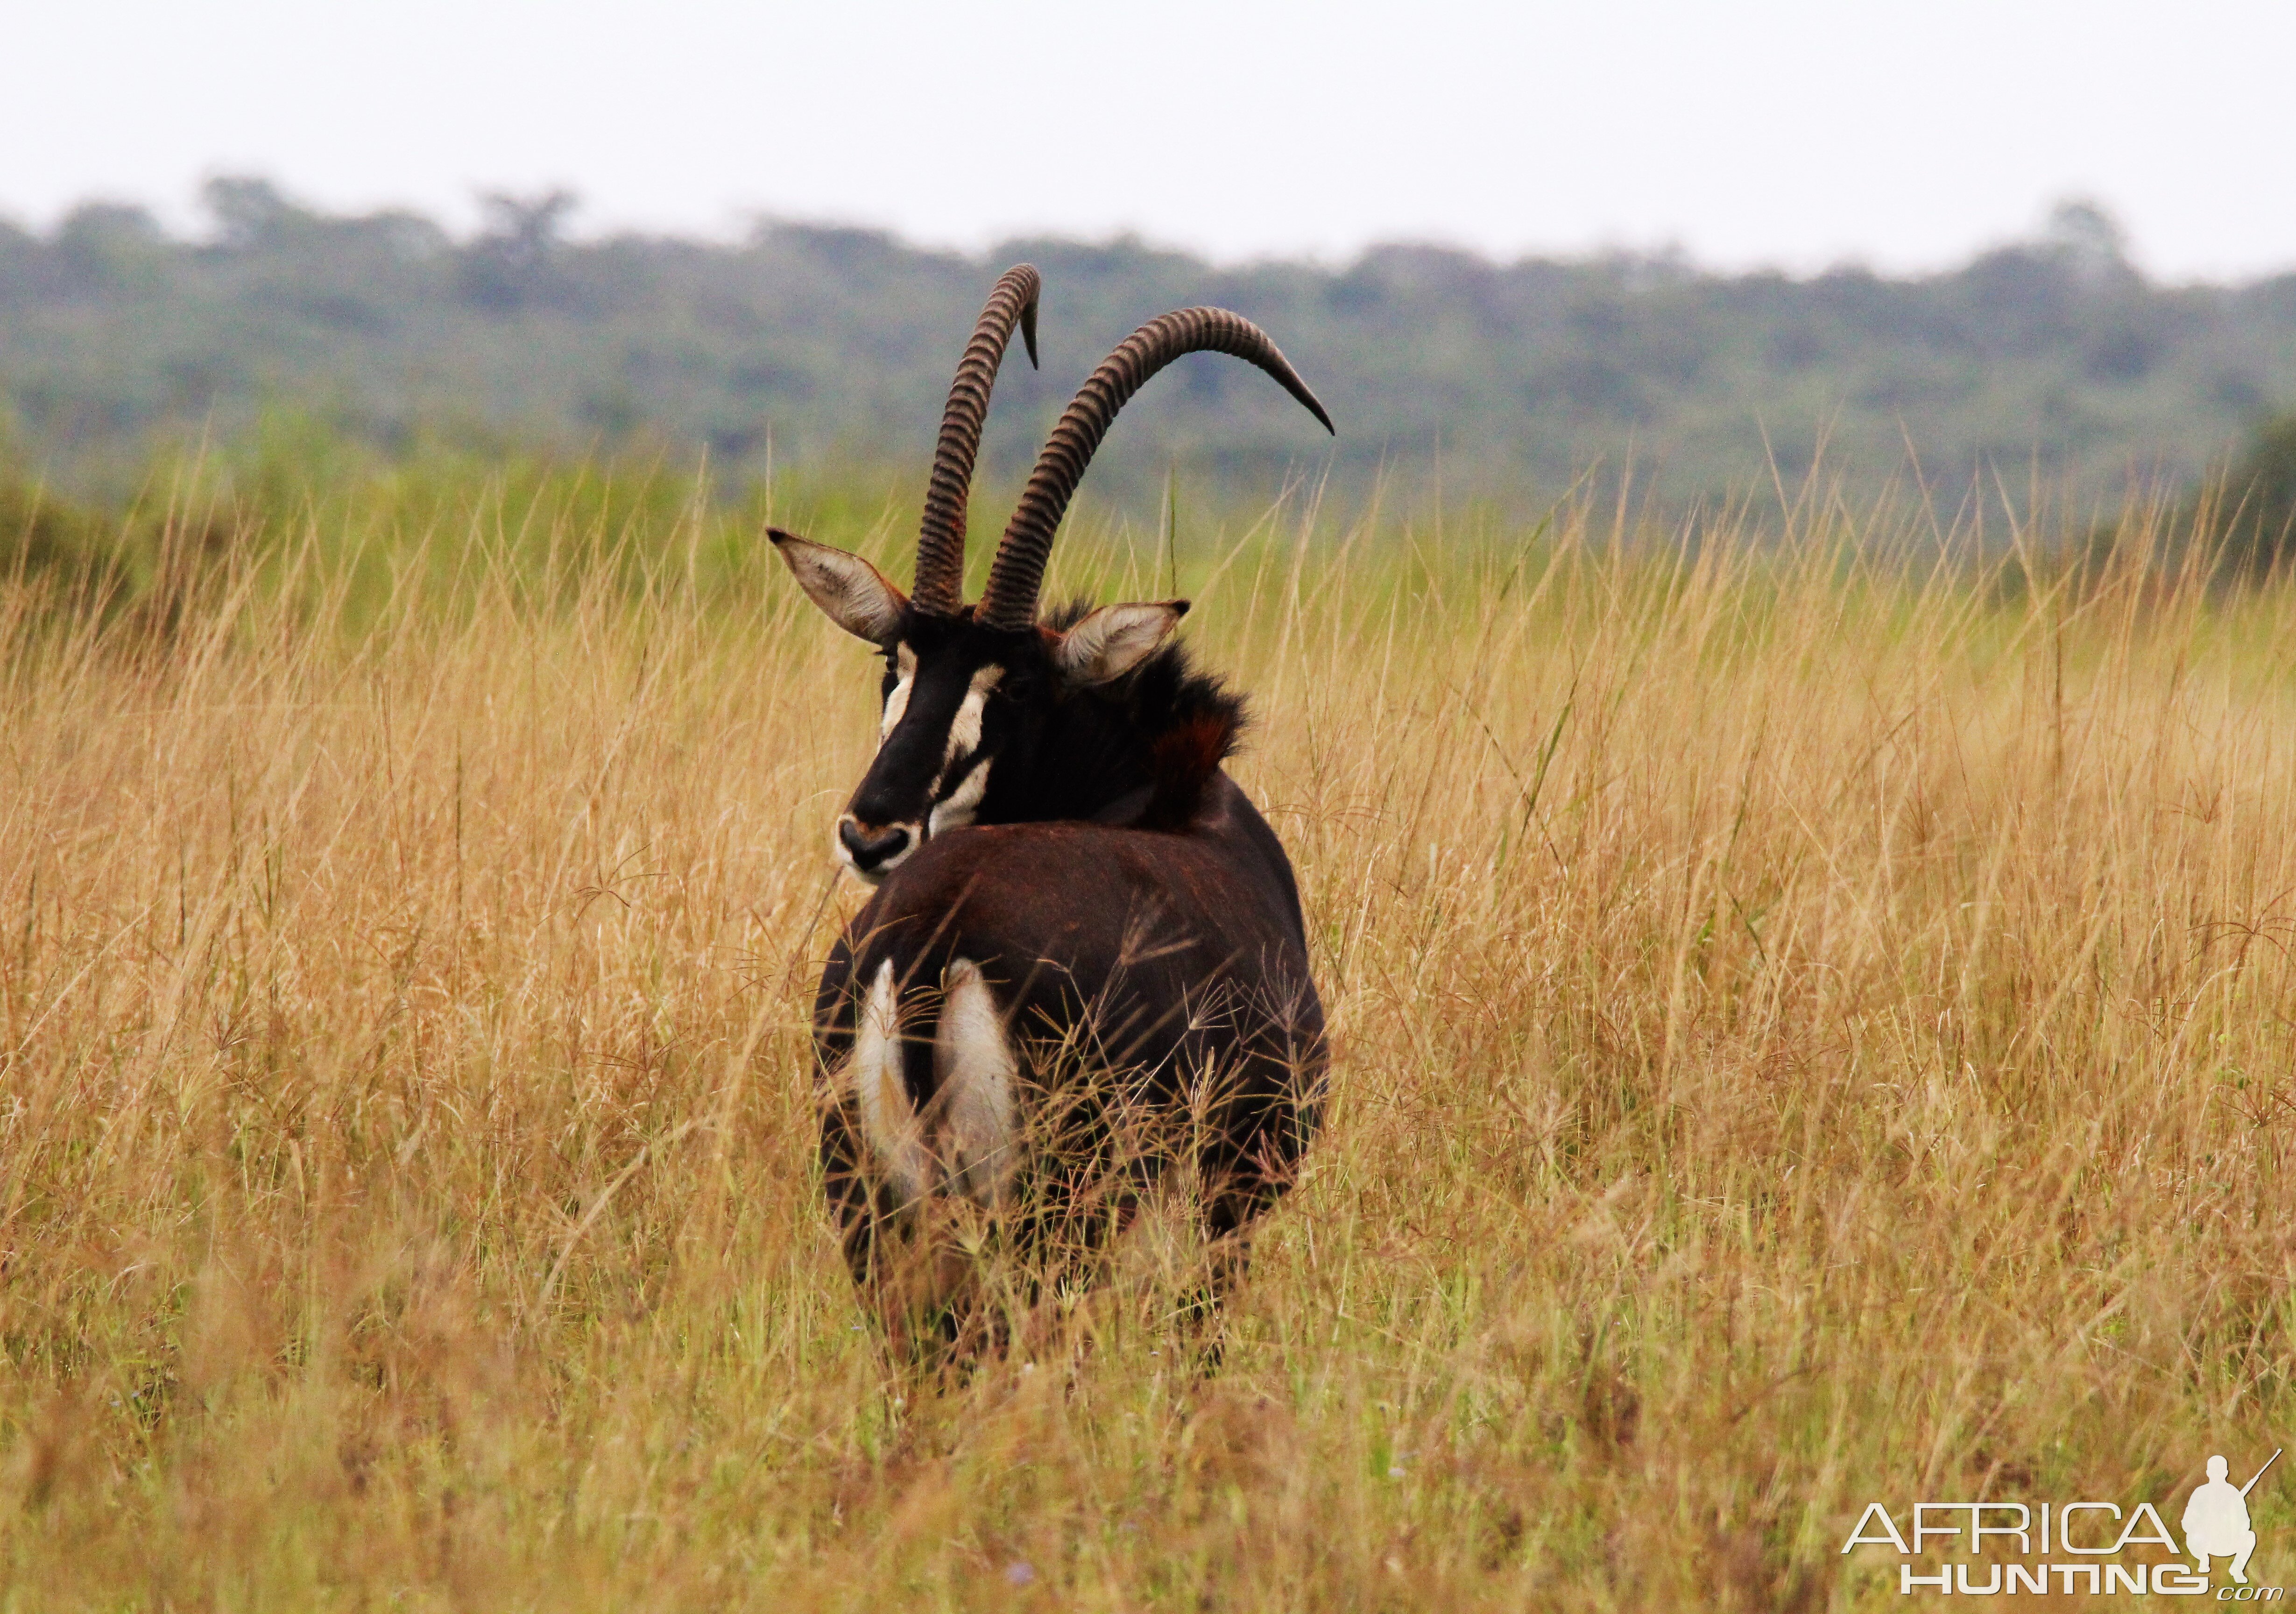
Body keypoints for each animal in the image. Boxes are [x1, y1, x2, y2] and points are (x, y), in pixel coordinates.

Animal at [771, 271, 1331, 1359]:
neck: (1159, 792)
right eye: (896, 663)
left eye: (1016, 686)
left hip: (871, 1214)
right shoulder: (1230, 1215)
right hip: (1054, 1215)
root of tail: (928, 937)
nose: (872, 832)